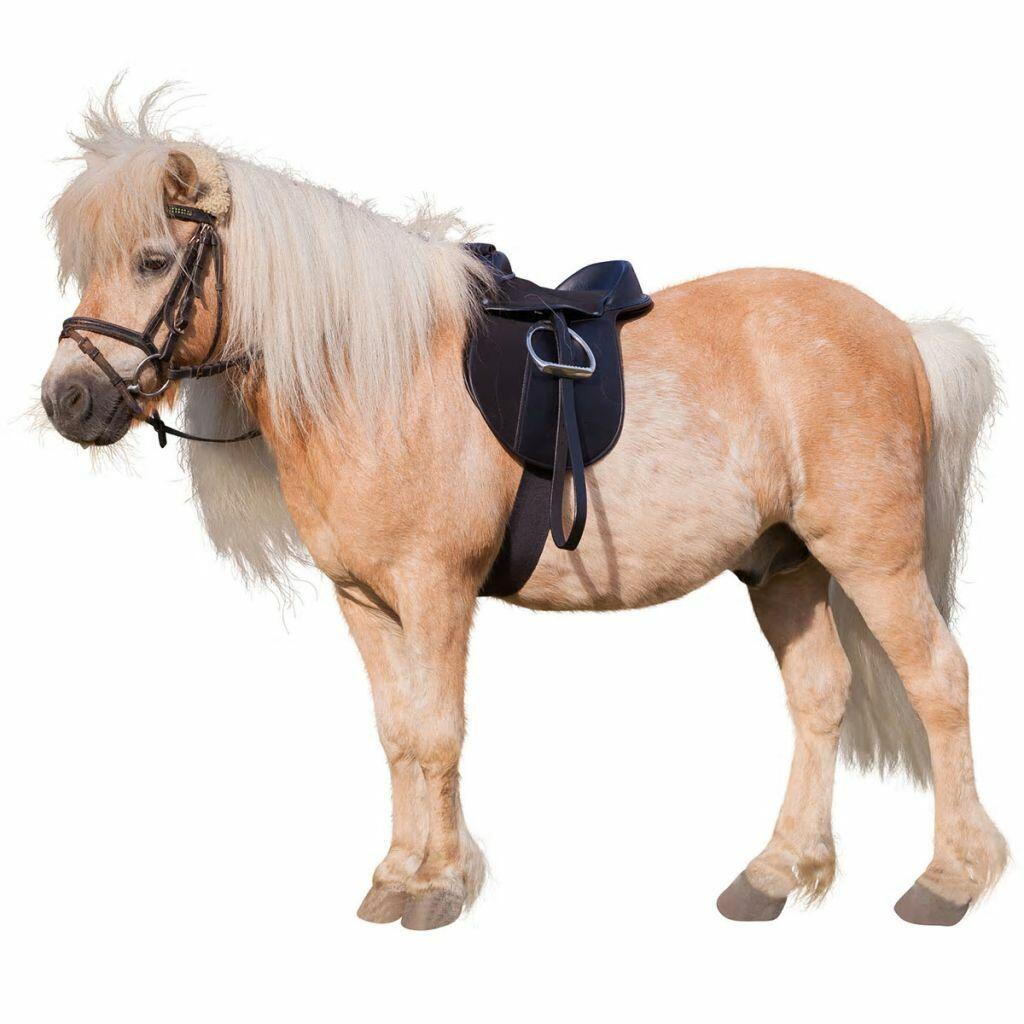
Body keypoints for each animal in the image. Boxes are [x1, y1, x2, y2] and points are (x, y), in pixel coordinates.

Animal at [40, 85, 1006, 930]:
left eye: (154, 260)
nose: (67, 401)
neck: (377, 374)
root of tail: (906, 335)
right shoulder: (363, 600)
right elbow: (397, 734)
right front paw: (396, 876)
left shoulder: (435, 590)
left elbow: (437, 734)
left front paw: (437, 888)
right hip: (784, 566)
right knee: (819, 695)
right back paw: (774, 875)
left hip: (873, 559)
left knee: (940, 681)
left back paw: (950, 881)